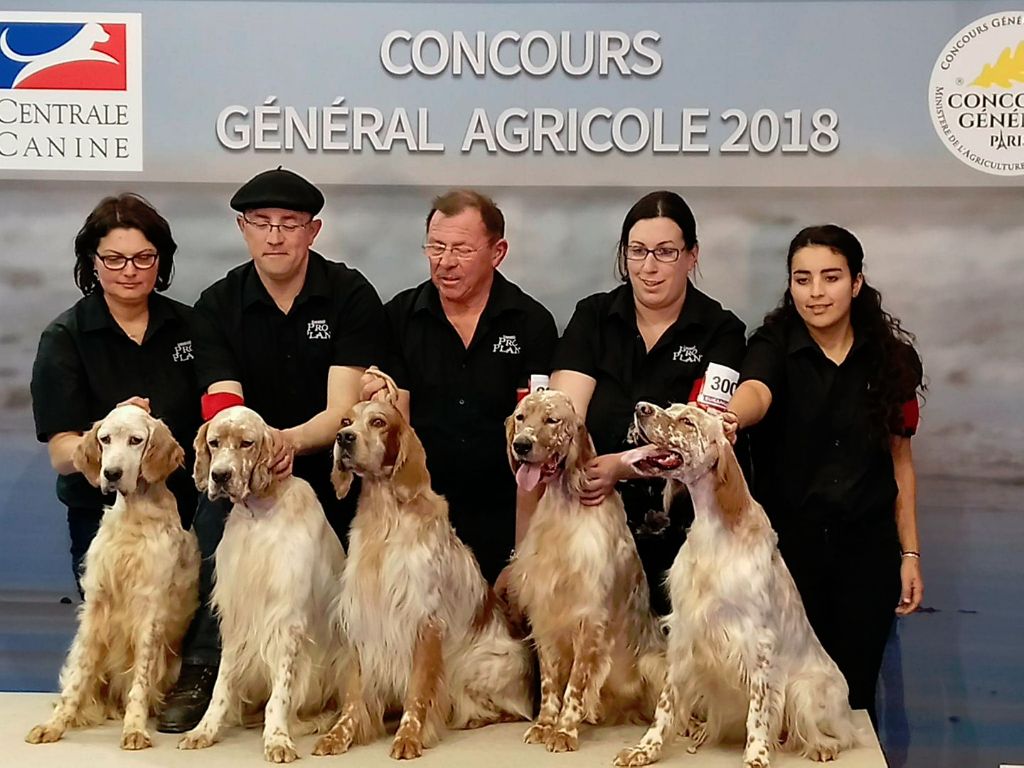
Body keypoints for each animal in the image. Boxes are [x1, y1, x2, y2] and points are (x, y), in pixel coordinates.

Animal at [25, 409, 199, 753]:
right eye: (105, 439)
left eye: (136, 440)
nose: (112, 473)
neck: (134, 515)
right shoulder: (96, 606)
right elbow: (77, 680)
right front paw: (55, 725)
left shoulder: (150, 611)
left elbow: (140, 681)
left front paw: (135, 729)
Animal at [179, 409, 348, 765]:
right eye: (214, 442)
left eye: (247, 443)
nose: (220, 476)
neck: (260, 513)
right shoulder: (236, 617)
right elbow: (222, 685)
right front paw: (205, 730)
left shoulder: (286, 620)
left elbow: (280, 693)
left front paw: (277, 739)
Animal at [503, 393, 663, 753]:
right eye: (521, 417)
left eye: (552, 420)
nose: (521, 445)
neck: (567, 504)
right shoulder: (545, 616)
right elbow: (550, 684)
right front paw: (544, 725)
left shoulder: (589, 618)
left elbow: (575, 686)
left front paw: (564, 731)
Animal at [614, 405, 864, 765]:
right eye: (670, 408)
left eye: (687, 421)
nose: (640, 408)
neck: (717, 530)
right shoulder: (684, 633)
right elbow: (666, 705)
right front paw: (645, 749)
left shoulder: (757, 642)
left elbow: (758, 712)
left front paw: (756, 755)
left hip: (805, 690)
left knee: (841, 734)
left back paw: (821, 746)